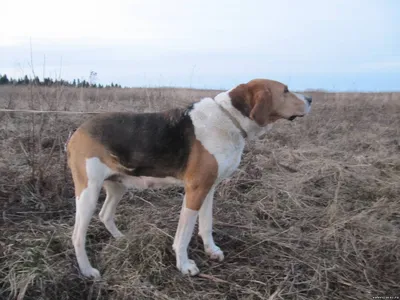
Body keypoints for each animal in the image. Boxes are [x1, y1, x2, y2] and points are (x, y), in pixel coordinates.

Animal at [66, 78, 312, 278]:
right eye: (285, 90)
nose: (310, 98)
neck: (229, 119)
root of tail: (78, 131)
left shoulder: (209, 189)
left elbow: (206, 225)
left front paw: (211, 250)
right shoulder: (195, 190)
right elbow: (183, 235)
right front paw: (184, 265)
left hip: (118, 185)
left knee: (105, 214)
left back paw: (121, 239)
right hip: (88, 192)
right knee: (77, 236)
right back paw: (87, 271)